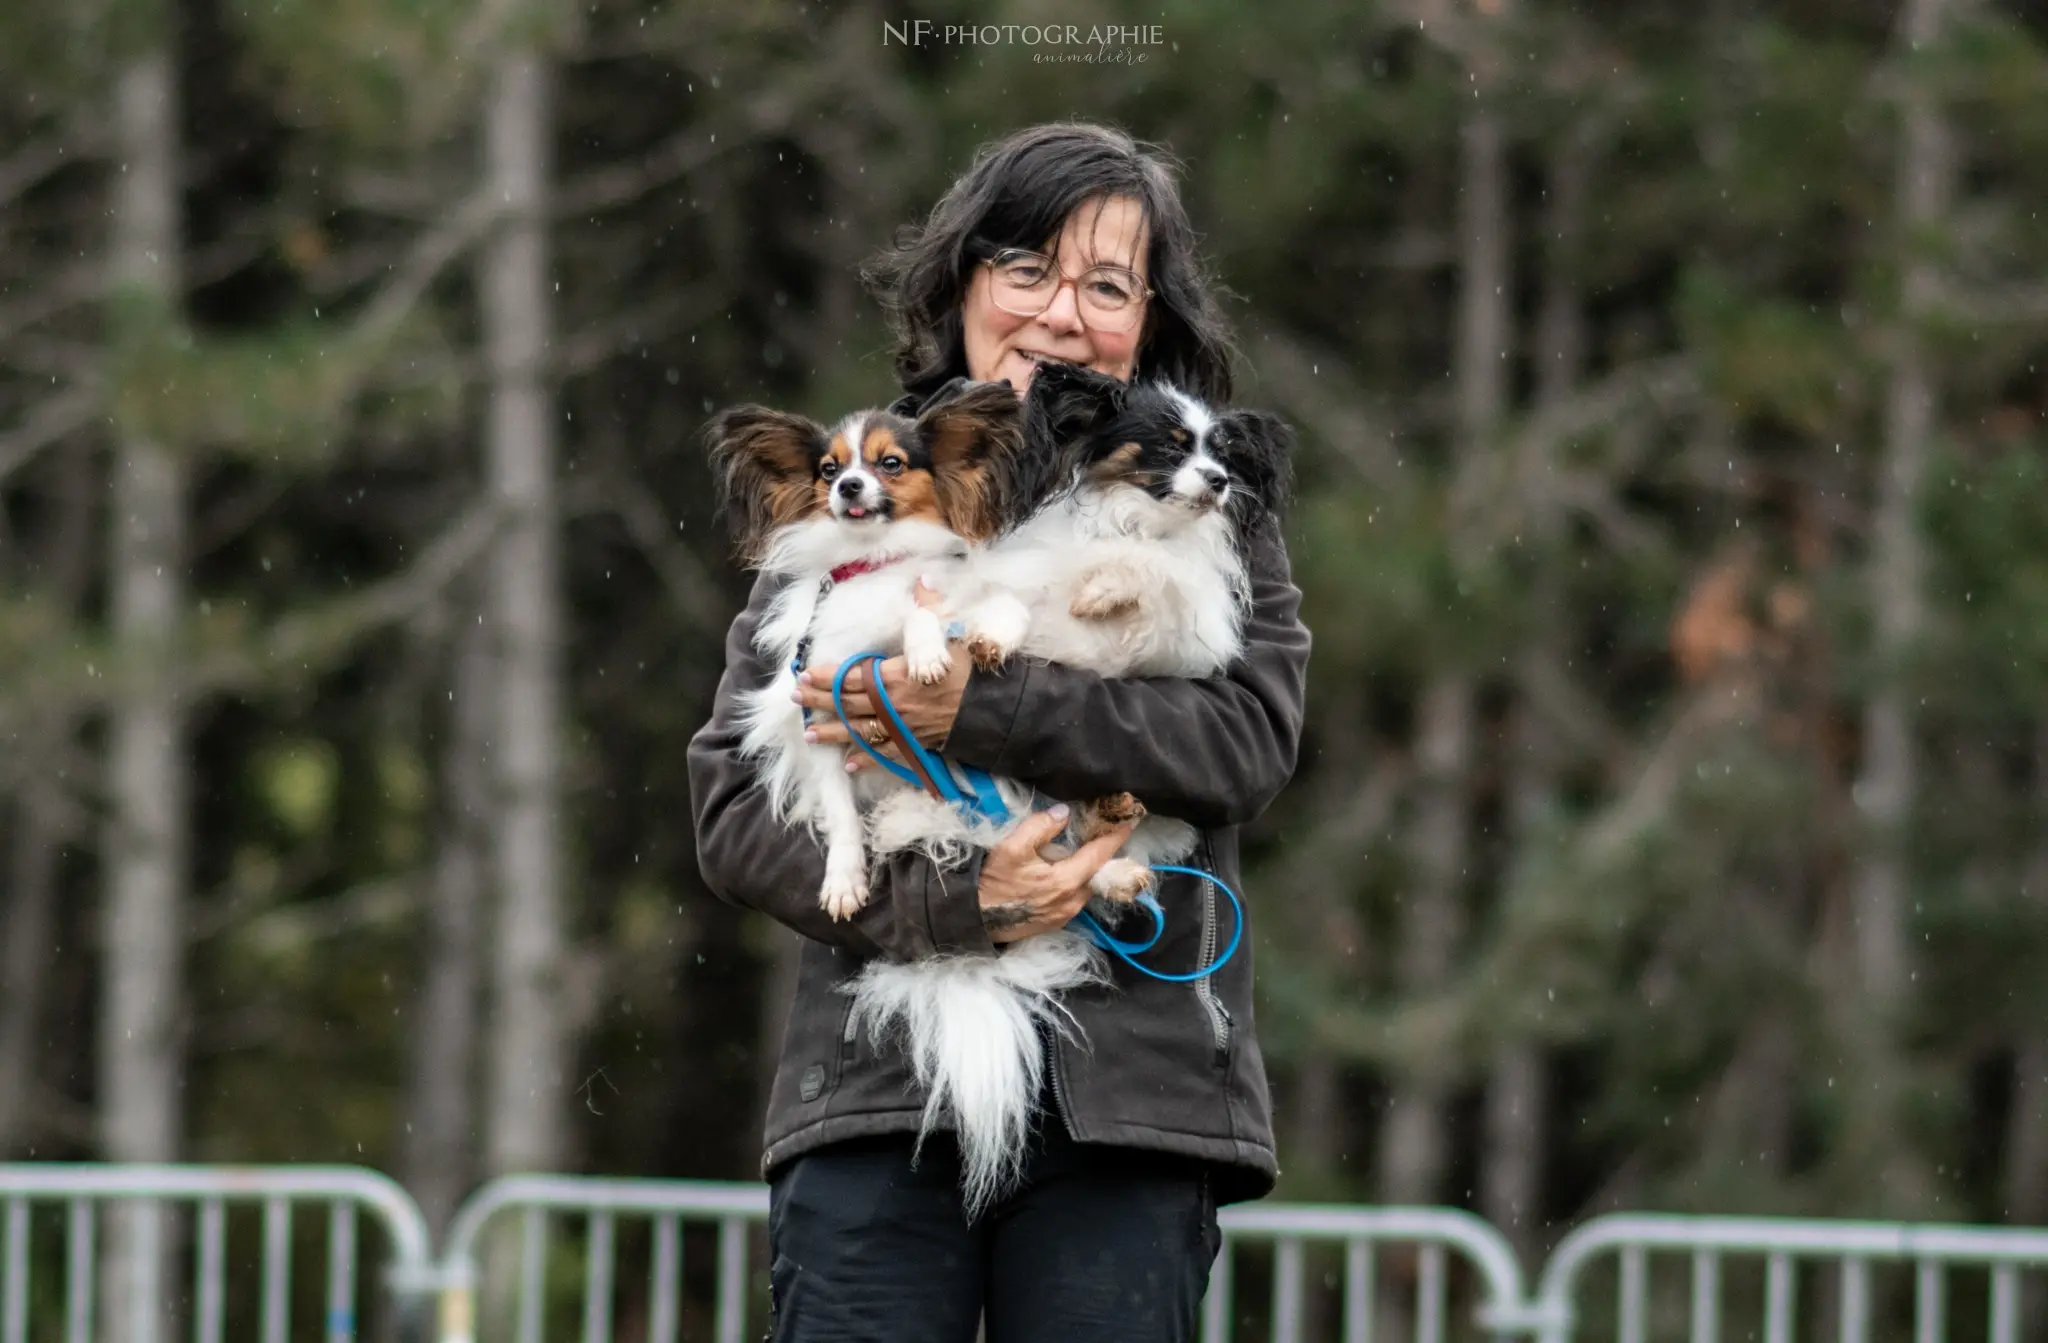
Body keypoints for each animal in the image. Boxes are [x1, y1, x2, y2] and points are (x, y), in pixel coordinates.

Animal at [704, 376, 1056, 925]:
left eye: (890, 463)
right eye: (829, 470)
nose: (847, 486)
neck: (876, 559)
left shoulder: (948, 596)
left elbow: (981, 606)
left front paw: (958, 646)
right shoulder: (821, 720)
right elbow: (842, 817)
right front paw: (844, 882)